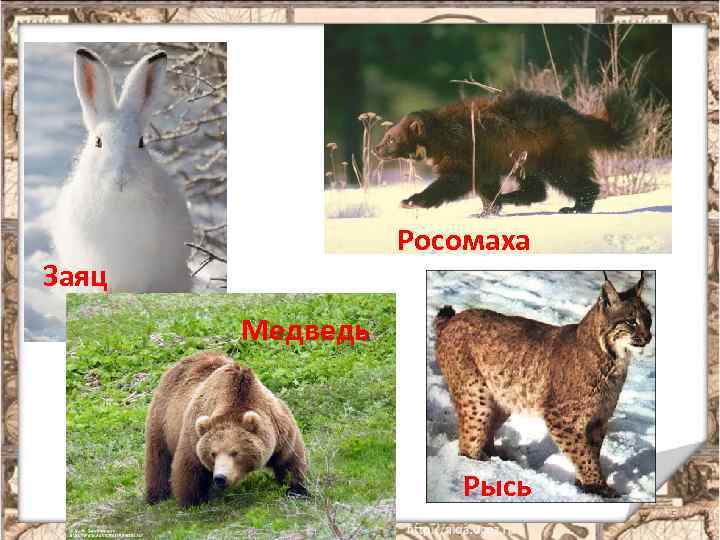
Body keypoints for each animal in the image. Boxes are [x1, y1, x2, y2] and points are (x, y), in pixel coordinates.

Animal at [144, 352, 308, 507]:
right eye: (213, 453)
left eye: (235, 452)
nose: (220, 478)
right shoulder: (194, 434)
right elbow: (189, 468)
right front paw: (192, 502)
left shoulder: (279, 427)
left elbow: (290, 459)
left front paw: (297, 490)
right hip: (163, 418)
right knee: (158, 458)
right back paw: (156, 497)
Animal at [374, 89, 640, 214]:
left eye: (390, 138)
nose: (376, 149)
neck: (441, 134)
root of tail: (577, 116)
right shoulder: (484, 161)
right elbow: (484, 185)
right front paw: (487, 209)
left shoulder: (464, 150)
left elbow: (454, 181)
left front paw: (411, 200)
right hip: (527, 157)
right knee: (536, 188)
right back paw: (512, 197)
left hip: (554, 151)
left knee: (571, 178)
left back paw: (576, 207)